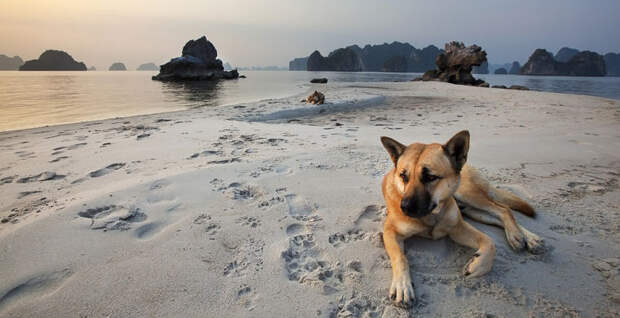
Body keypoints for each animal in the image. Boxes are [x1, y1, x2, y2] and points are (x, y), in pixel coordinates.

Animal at [378, 130, 544, 306]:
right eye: (403, 176)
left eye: (430, 177)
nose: (405, 207)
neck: (432, 215)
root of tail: (465, 166)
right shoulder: (390, 232)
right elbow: (400, 257)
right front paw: (402, 286)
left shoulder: (458, 227)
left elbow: (489, 242)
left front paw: (478, 265)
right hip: (473, 210)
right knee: (498, 216)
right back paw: (524, 237)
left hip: (469, 195)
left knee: (503, 209)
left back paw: (522, 236)